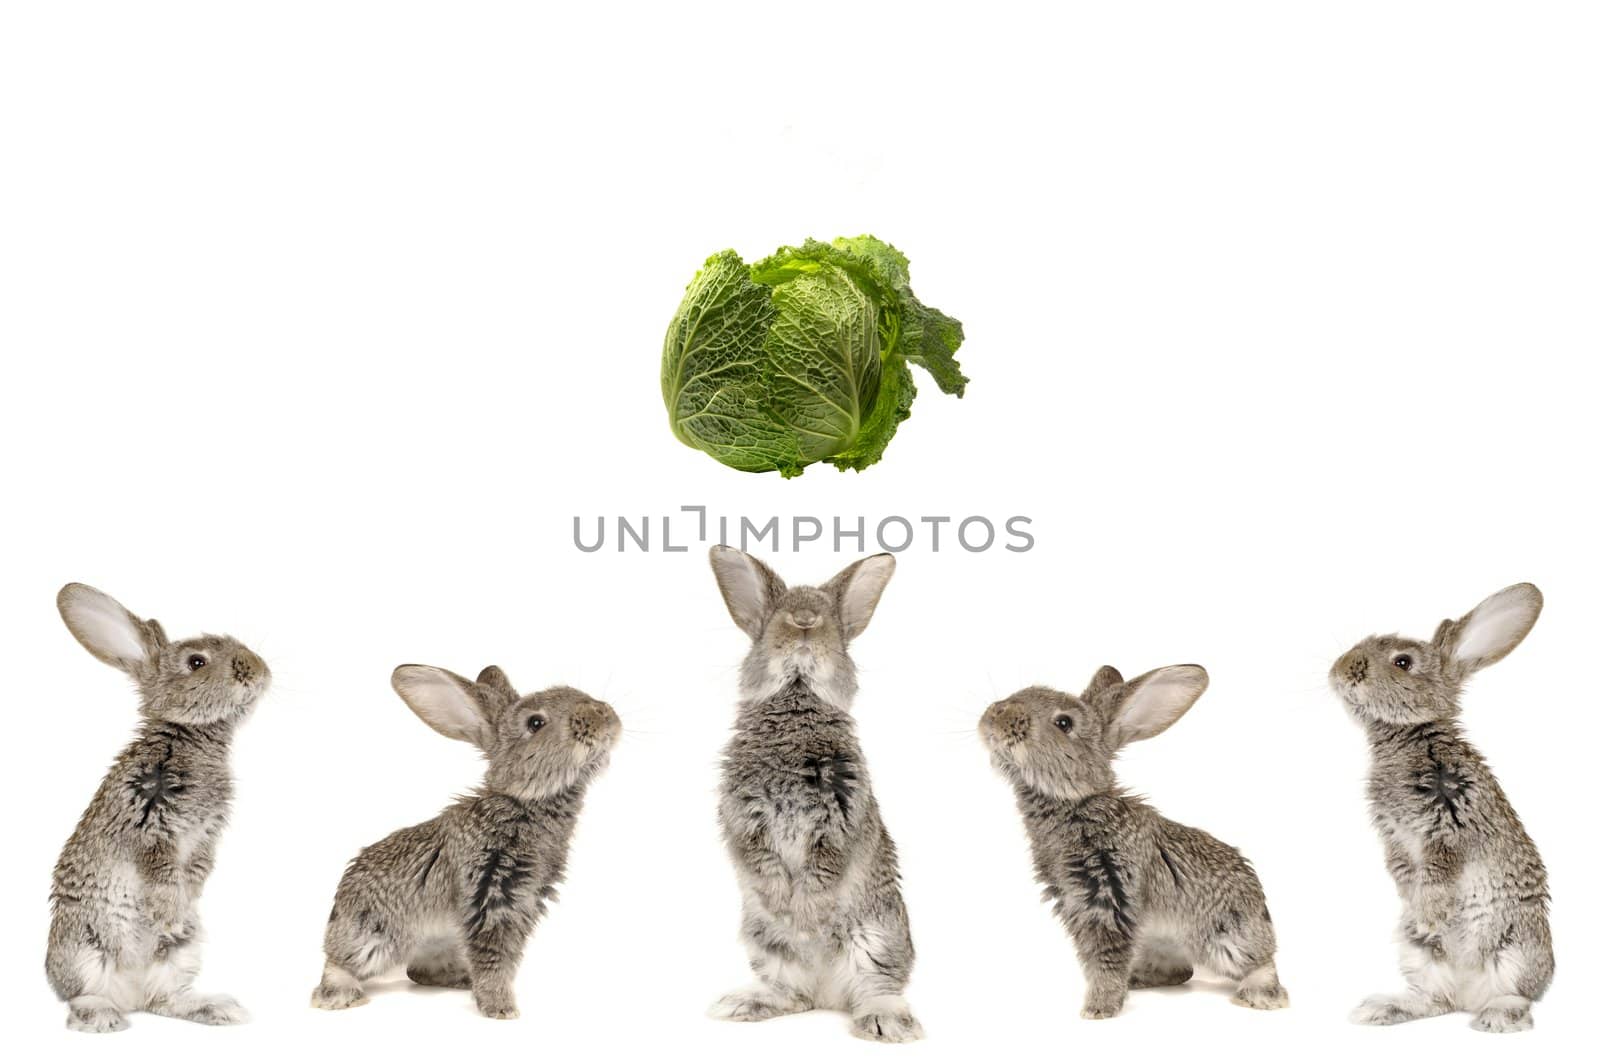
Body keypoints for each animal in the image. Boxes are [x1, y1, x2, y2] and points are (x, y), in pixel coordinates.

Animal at [46, 585, 272, 1030]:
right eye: (197, 662)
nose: (260, 671)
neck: (189, 734)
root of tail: (128, 995)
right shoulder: (150, 824)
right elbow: (162, 873)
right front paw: (169, 911)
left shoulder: (205, 835)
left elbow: (197, 869)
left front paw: (181, 909)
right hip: (84, 945)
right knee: (81, 996)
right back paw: (103, 1016)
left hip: (180, 954)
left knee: (162, 1000)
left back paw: (216, 1007)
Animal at [310, 665, 617, 1023]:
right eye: (535, 723)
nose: (608, 717)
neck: (520, 801)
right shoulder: (491, 898)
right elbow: (494, 959)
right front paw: (501, 1008)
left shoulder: (523, 903)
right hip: (371, 938)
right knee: (338, 961)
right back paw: (340, 996)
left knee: (418, 971)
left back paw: (458, 978)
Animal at [704, 547, 921, 1043]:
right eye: (775, 620)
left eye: (832, 627)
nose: (804, 622)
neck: (797, 696)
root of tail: (828, 994)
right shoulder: (745, 818)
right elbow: (762, 862)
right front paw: (789, 910)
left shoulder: (839, 818)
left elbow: (823, 870)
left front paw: (806, 914)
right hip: (764, 941)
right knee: (794, 993)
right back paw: (742, 1003)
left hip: (876, 937)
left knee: (877, 988)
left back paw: (885, 1022)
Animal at [972, 665, 1286, 1023]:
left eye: (1064, 723)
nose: (993, 716)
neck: (1078, 801)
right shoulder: (1075, 903)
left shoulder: (1109, 898)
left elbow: (1105, 959)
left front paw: (1098, 1008)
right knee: (1181, 971)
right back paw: (1140, 978)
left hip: (1227, 939)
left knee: (1261, 962)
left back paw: (1260, 996)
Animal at [1331, 585, 1555, 1030]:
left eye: (1402, 662)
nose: (1340, 671)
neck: (1410, 735)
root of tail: (1472, 995)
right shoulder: (1394, 836)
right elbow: (1403, 870)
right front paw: (1416, 907)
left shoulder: (1450, 825)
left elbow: (1437, 874)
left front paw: (1429, 912)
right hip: (1419, 954)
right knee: (1438, 1000)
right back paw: (1382, 1007)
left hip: (1515, 945)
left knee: (1518, 995)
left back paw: (1496, 1016)